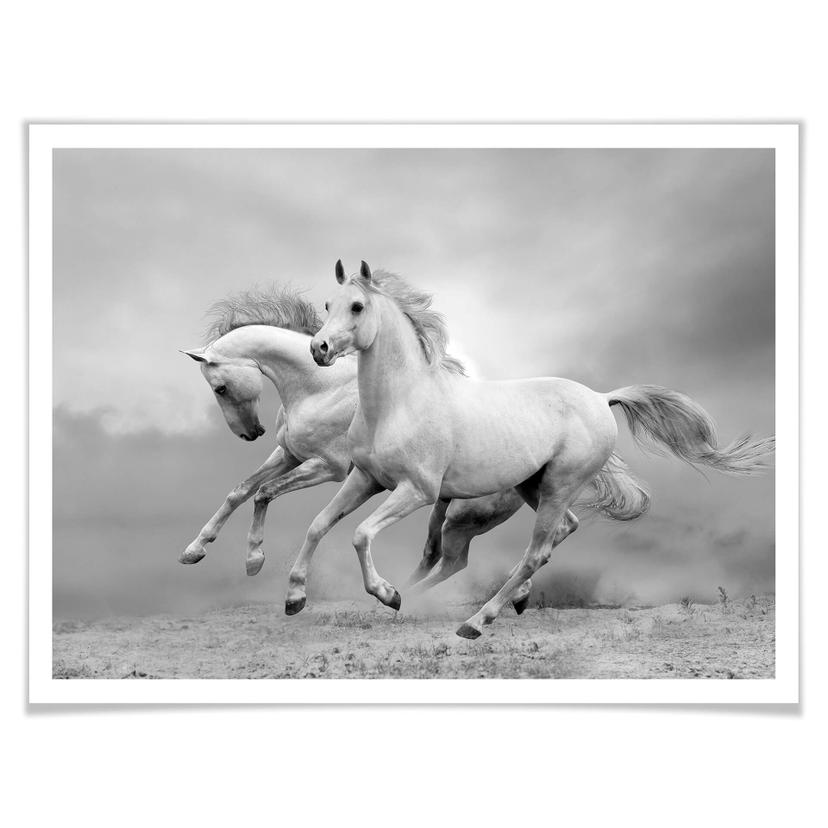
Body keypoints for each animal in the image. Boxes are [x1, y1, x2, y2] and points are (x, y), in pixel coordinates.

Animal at [178, 286, 650, 611]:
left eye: (220, 388)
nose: (251, 433)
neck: (319, 386)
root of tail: (596, 402)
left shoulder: (327, 467)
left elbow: (264, 493)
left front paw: (255, 560)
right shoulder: (291, 455)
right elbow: (241, 491)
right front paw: (197, 551)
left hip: (465, 515)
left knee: (469, 556)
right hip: (500, 498)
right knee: (530, 537)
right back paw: (510, 597)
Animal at [297, 260, 774, 638]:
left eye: (357, 307)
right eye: (328, 305)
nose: (319, 348)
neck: (400, 402)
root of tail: (602, 398)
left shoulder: (417, 491)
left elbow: (360, 534)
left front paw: (387, 594)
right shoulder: (366, 479)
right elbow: (319, 525)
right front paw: (295, 597)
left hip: (559, 485)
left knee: (536, 552)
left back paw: (476, 621)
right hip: (534, 486)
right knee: (562, 530)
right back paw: (497, 602)